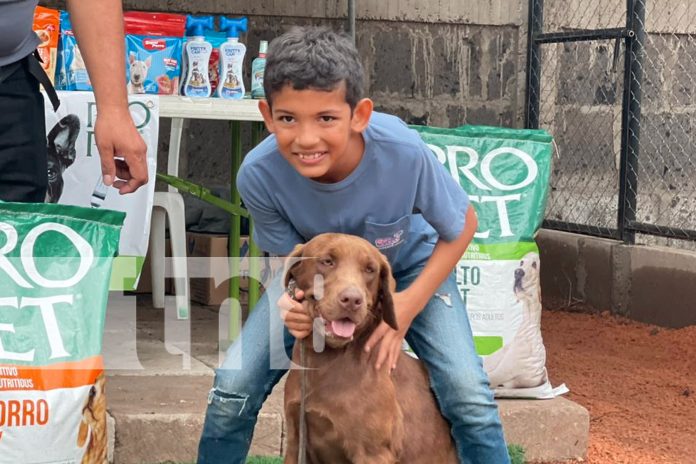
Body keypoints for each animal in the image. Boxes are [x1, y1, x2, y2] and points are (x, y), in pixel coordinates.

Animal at [282, 236, 456, 464]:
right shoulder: (295, 439)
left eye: (370, 269)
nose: (352, 300)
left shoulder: (373, 453)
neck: (324, 360)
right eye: (327, 261)